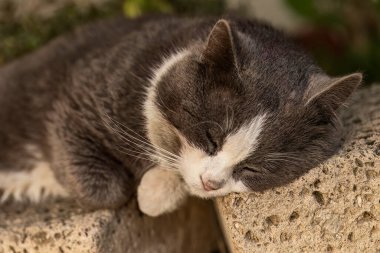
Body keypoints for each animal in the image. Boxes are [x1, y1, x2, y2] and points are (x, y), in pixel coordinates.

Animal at [0, 14, 362, 216]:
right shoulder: (77, 103)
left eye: (254, 167)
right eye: (211, 136)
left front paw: (154, 189)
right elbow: (107, 189)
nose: (211, 182)